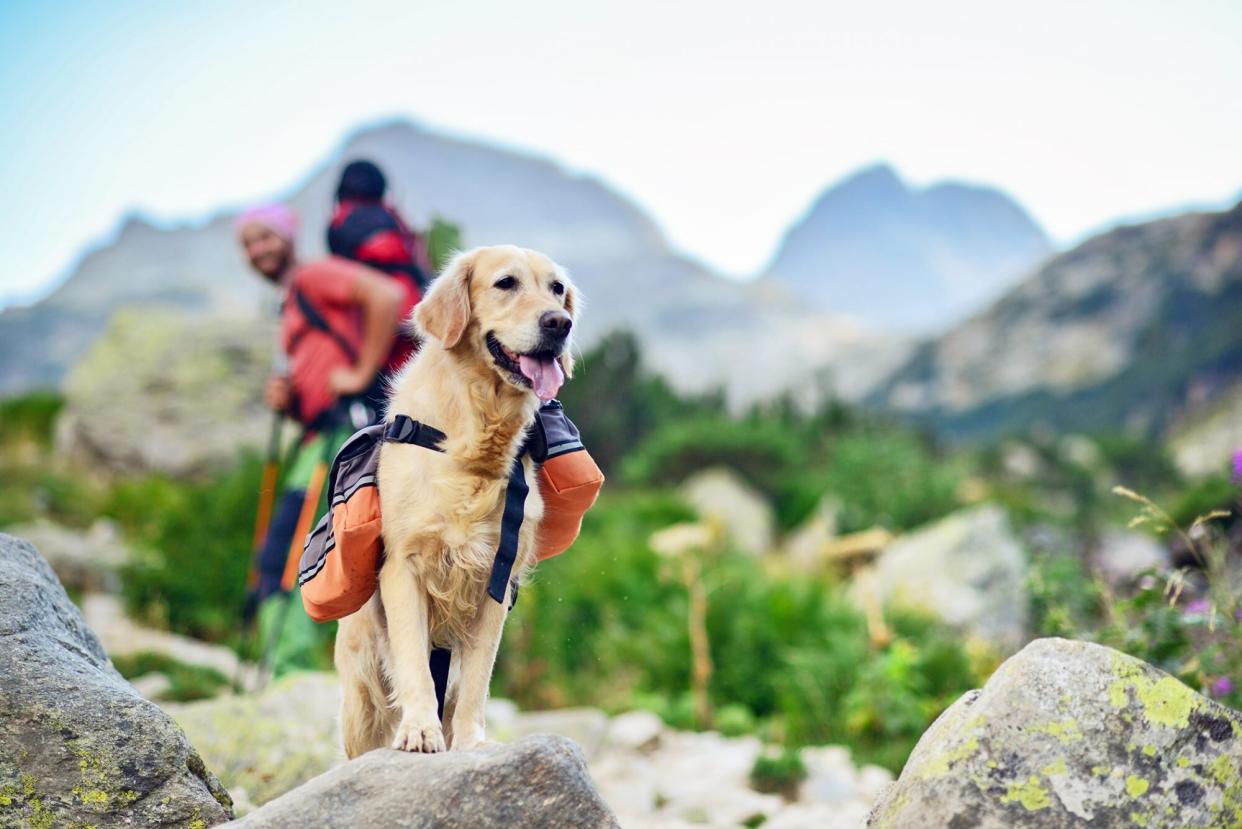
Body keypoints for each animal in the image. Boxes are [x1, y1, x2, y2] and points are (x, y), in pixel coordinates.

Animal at [332, 243, 578, 755]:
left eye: (557, 289)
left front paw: (471, 742)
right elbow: (415, 665)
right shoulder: (403, 567)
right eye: (506, 283)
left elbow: (477, 682)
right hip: (361, 695)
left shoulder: (496, 579)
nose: (559, 324)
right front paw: (420, 730)